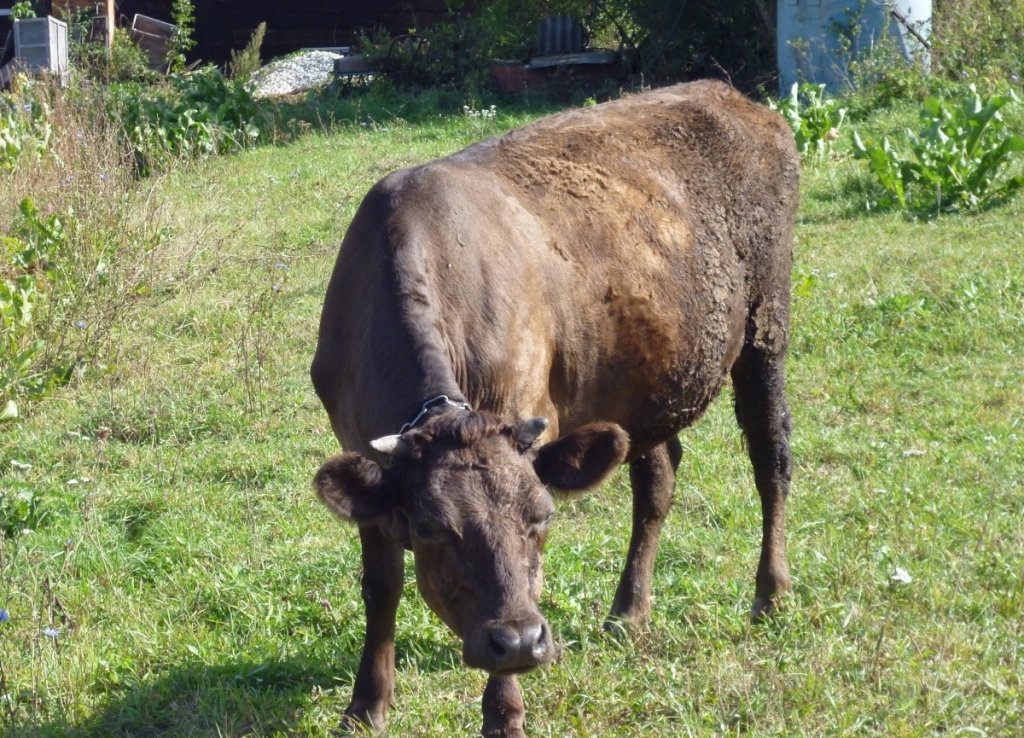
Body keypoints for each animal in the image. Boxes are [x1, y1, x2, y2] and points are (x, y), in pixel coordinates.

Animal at [311, 77, 798, 732]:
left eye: (542, 516)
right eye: (432, 527)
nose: (519, 641)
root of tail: (727, 92)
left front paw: (504, 715)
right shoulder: (360, 449)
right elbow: (381, 586)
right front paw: (366, 706)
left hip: (765, 328)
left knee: (771, 457)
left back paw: (770, 593)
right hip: (642, 383)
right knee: (657, 480)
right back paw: (628, 612)